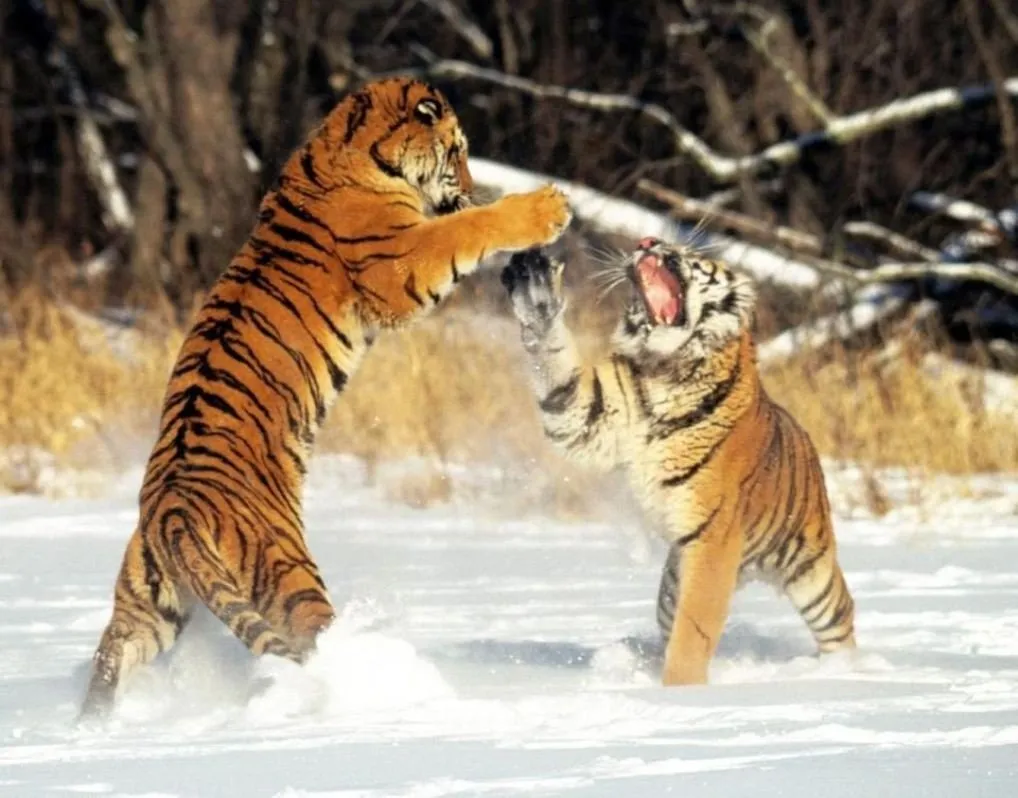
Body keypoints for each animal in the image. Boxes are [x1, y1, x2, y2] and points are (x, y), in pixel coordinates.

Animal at [79, 77, 572, 721]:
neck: (347, 140)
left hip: (150, 603)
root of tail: (172, 508)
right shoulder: (401, 265)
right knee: (313, 640)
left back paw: (92, 723)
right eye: (459, 152)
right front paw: (544, 208)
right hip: (289, 576)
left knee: (112, 653)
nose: (467, 187)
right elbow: (466, 231)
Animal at [500, 240, 855, 686]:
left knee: (841, 620)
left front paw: (679, 691)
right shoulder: (589, 415)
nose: (647, 242)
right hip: (672, 585)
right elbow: (557, 374)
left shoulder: (713, 538)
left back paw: (846, 671)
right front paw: (537, 295)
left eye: (692, 256)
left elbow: (694, 629)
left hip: (814, 575)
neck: (664, 367)